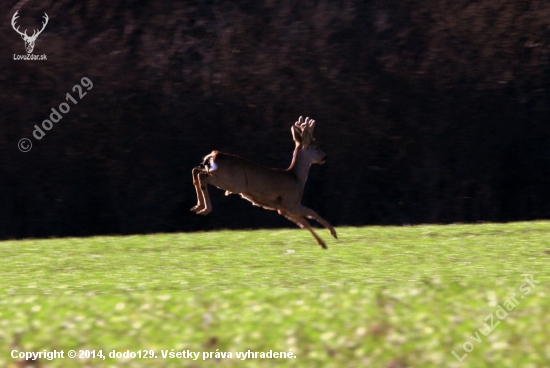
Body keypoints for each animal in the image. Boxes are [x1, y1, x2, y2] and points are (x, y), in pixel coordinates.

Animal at [192, 116, 338, 249]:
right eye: (316, 147)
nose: (326, 156)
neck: (296, 177)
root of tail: (213, 156)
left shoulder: (282, 208)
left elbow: (303, 222)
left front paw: (322, 243)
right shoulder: (291, 202)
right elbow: (312, 213)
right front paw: (332, 234)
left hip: (224, 177)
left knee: (196, 171)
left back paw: (197, 207)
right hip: (232, 182)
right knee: (203, 177)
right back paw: (205, 209)